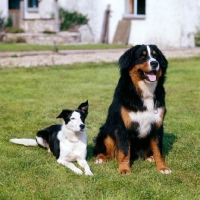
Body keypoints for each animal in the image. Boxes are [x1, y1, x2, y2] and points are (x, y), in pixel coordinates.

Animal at [94, 44, 172, 174]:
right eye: (142, 56)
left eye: (156, 55)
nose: (154, 63)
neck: (145, 92)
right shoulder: (123, 127)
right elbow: (125, 151)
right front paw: (124, 169)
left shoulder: (157, 126)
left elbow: (158, 150)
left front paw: (163, 167)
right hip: (106, 133)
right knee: (106, 151)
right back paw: (100, 158)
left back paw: (149, 157)